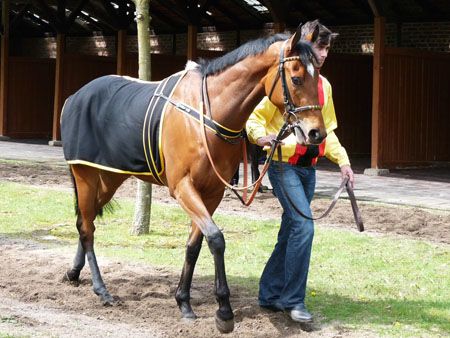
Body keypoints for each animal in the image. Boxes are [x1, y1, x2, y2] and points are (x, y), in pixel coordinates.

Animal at [61, 24, 326, 332]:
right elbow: (216, 239)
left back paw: (73, 272)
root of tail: (74, 97)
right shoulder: (182, 187)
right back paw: (101, 290)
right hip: (85, 175)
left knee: (86, 218)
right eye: (296, 78)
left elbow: (194, 245)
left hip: (110, 178)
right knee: (87, 227)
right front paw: (224, 311)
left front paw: (184, 302)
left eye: (317, 76)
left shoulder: (211, 192)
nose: (316, 133)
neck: (207, 115)